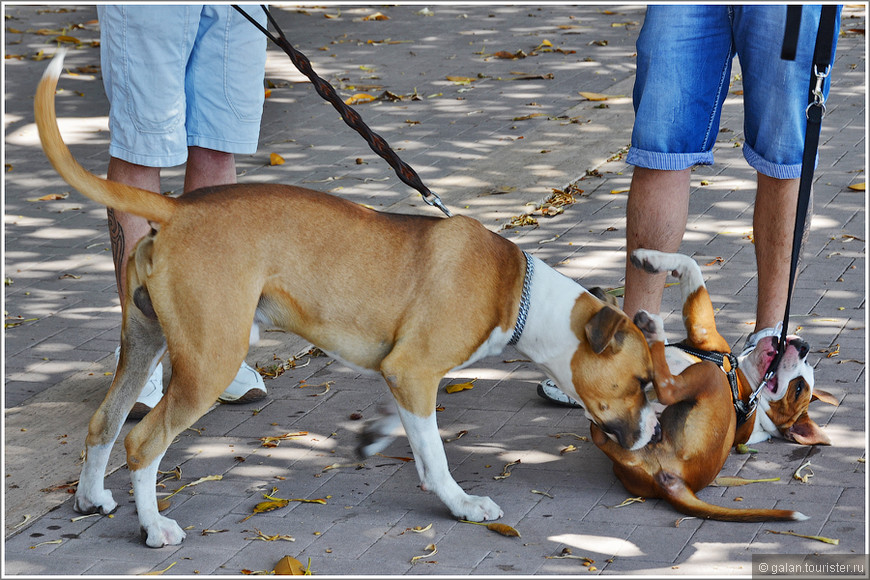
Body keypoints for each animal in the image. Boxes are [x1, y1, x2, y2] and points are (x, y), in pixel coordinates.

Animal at [35, 52, 660, 548]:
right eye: (639, 382)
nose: (652, 435)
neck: (516, 289)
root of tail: (179, 209)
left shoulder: (401, 374)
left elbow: (415, 435)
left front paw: (380, 438)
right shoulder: (414, 370)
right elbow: (436, 455)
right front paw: (462, 504)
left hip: (144, 345)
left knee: (105, 421)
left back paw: (91, 499)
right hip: (209, 360)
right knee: (142, 441)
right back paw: (154, 527)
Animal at [592, 249, 836, 520]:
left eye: (798, 388)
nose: (805, 346)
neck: (752, 391)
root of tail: (672, 479)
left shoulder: (703, 330)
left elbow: (690, 265)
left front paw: (649, 258)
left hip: (708, 375)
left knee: (668, 388)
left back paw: (652, 332)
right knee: (602, 434)